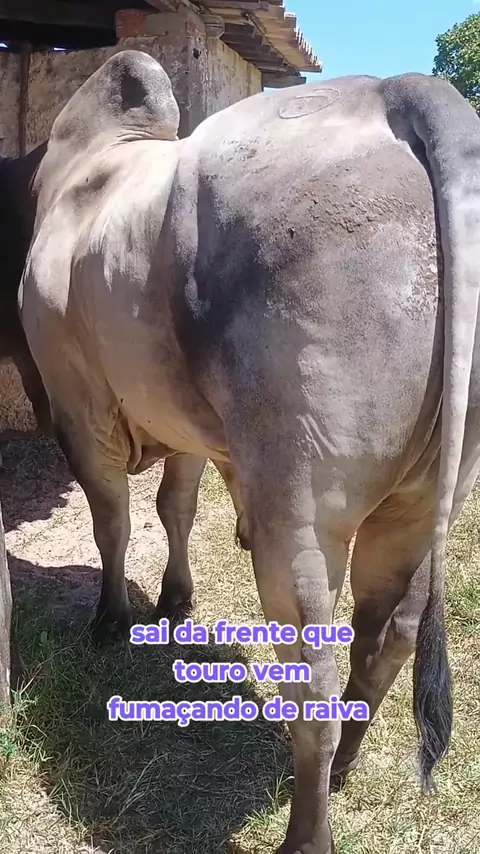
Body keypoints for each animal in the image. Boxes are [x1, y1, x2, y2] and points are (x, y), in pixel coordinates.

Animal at [19, 51, 480, 853]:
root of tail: (397, 90)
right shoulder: (187, 429)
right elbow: (174, 506)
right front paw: (175, 601)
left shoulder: (81, 408)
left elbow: (112, 519)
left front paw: (111, 619)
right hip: (426, 497)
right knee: (387, 634)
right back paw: (344, 768)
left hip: (298, 504)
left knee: (315, 675)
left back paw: (307, 833)